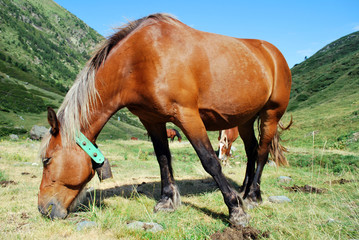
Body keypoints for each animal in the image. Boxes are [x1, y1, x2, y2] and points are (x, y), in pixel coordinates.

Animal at [38, 13, 292, 227]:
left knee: (262, 153)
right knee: (251, 151)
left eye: (47, 160)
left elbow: (210, 161)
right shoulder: (152, 120)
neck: (139, 59)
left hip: (270, 114)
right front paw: (167, 200)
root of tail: (274, 53)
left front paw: (235, 210)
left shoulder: (188, 116)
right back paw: (244, 190)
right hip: (245, 120)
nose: (43, 209)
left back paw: (252, 196)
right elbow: (162, 159)